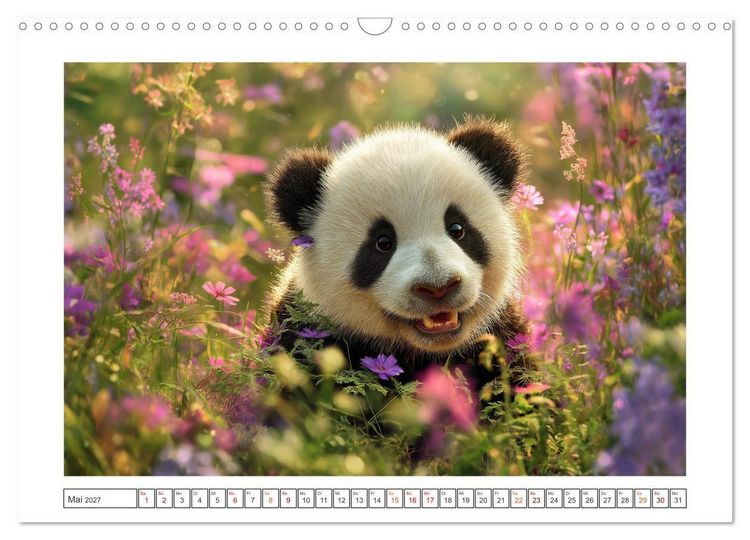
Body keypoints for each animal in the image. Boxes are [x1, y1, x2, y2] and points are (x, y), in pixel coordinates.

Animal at [263, 117, 531, 388]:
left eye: (457, 229)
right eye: (383, 242)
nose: (438, 287)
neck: (422, 352)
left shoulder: (502, 337)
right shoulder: (302, 332)